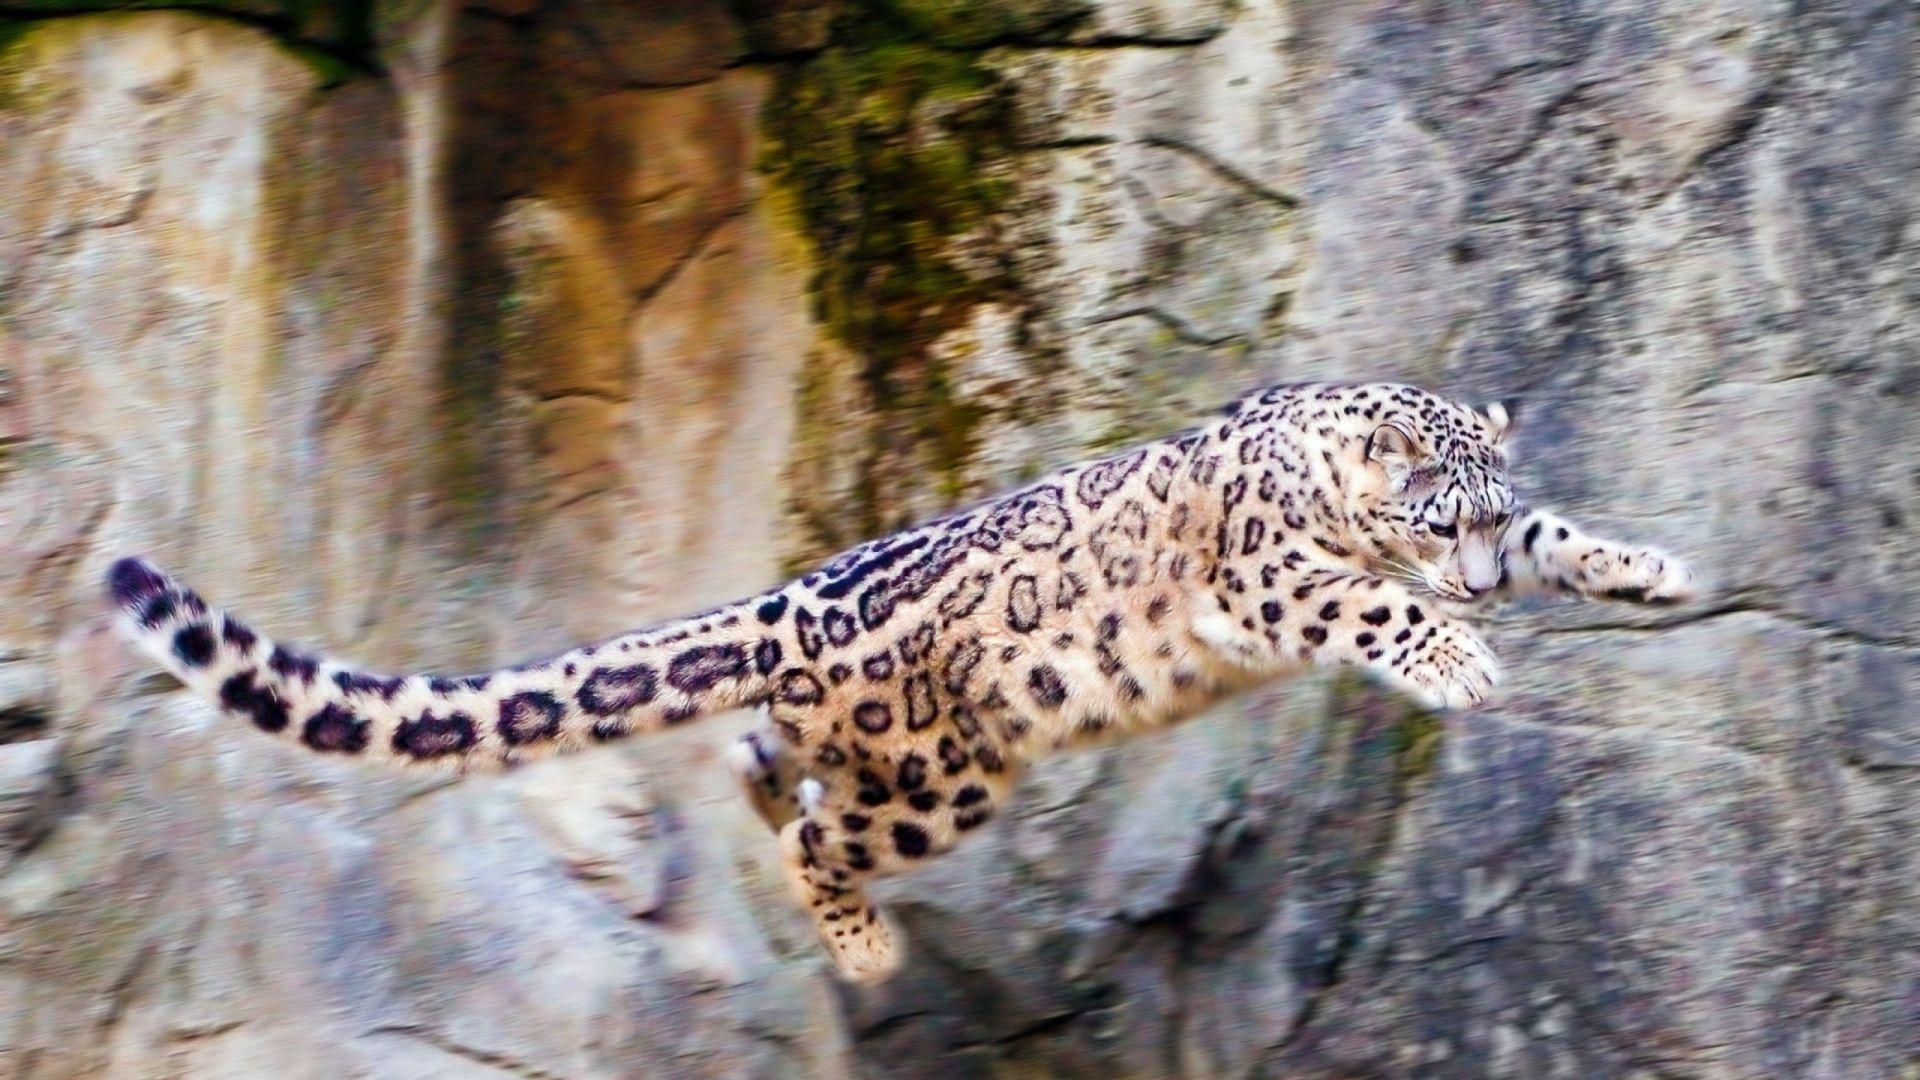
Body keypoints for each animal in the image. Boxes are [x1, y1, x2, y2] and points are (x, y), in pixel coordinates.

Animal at [105, 382, 1696, 984]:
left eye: (1494, 512)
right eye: (1437, 520)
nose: (1473, 585)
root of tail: (788, 603)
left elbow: (1570, 543)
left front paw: (1651, 568)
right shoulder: (1270, 575)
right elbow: (1358, 598)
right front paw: (1461, 658)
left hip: (879, 753)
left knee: (764, 765)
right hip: (946, 775)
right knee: (819, 831)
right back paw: (865, 948)